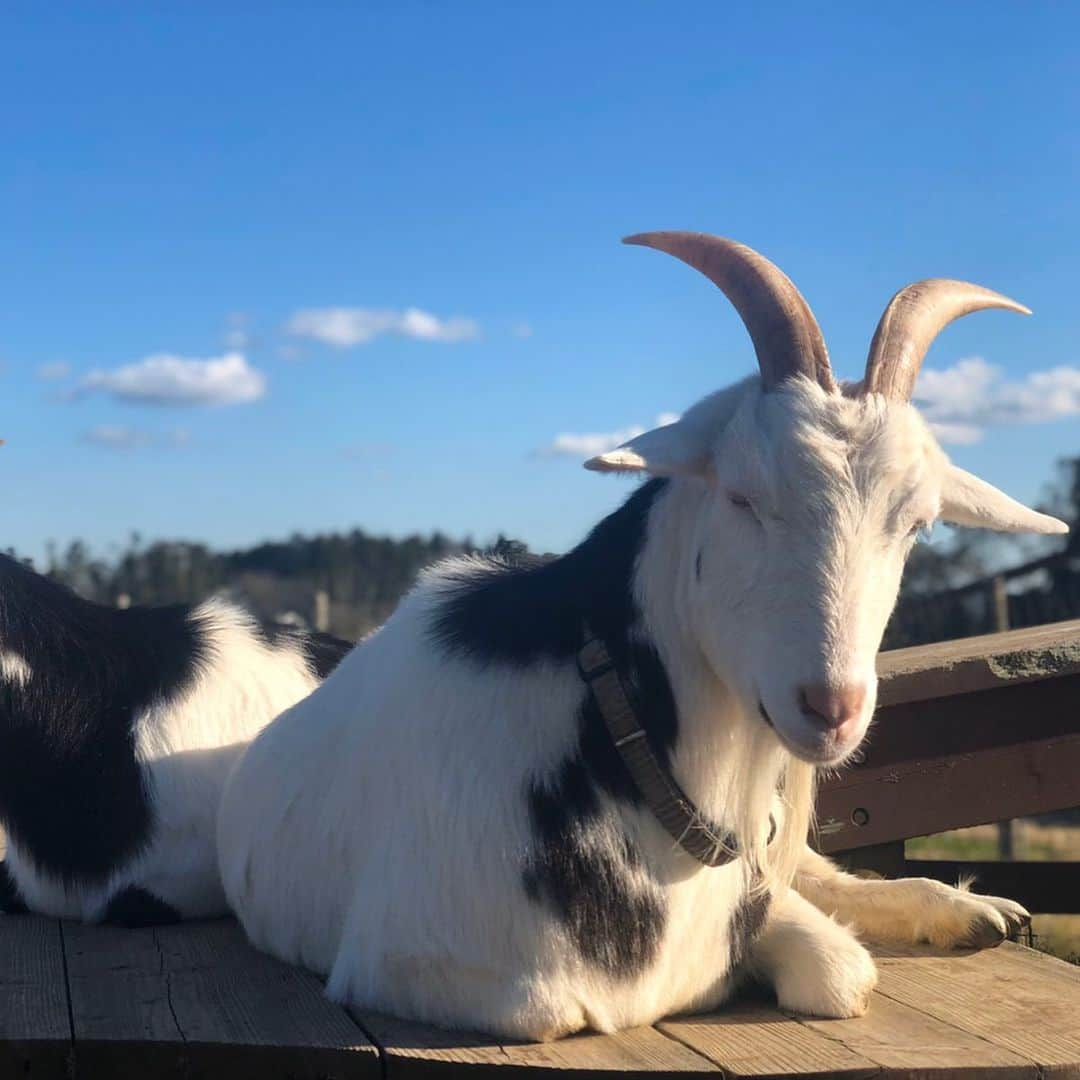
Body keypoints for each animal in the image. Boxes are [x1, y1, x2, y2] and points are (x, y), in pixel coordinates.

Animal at [217, 234, 1062, 1036]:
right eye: (740, 494)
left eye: (918, 523)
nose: (831, 707)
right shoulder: (423, 963)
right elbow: (819, 963)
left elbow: (830, 956)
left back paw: (976, 912)